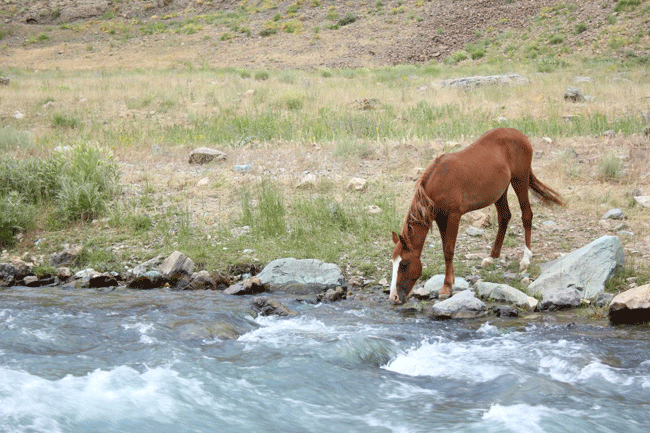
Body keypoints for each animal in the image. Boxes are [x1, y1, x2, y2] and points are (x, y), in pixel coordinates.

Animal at [390, 127, 560, 304]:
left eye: (404, 264)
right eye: (393, 263)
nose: (394, 297)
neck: (439, 181)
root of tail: (520, 135)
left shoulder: (453, 216)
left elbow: (448, 250)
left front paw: (446, 287)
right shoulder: (440, 219)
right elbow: (446, 249)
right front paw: (450, 282)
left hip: (520, 180)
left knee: (526, 215)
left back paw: (526, 259)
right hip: (501, 192)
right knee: (504, 217)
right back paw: (492, 257)